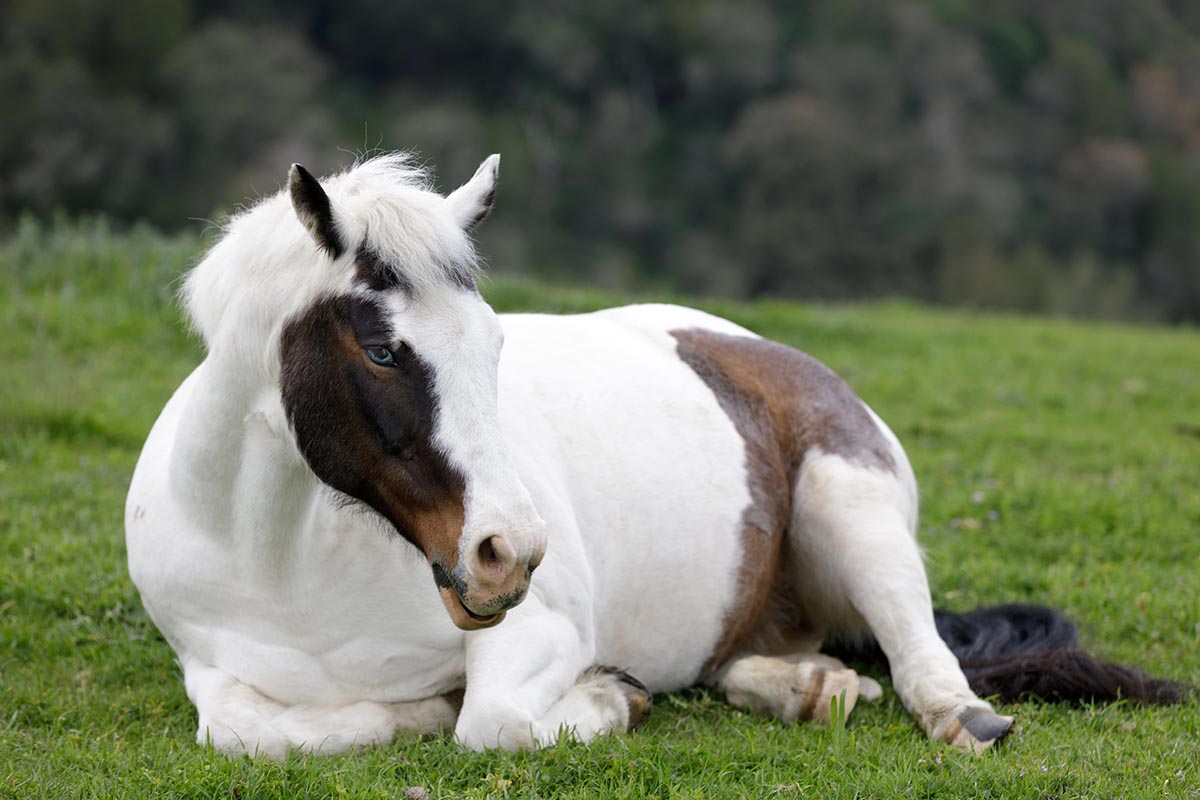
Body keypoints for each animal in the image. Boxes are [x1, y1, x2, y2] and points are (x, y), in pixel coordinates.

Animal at [125, 153, 1181, 759]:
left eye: (495, 342)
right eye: (383, 351)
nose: (509, 553)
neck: (289, 561)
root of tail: (760, 350)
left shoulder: (541, 634)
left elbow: (490, 722)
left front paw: (607, 701)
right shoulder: (211, 671)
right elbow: (249, 734)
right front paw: (406, 714)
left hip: (853, 508)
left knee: (924, 660)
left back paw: (954, 717)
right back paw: (804, 686)